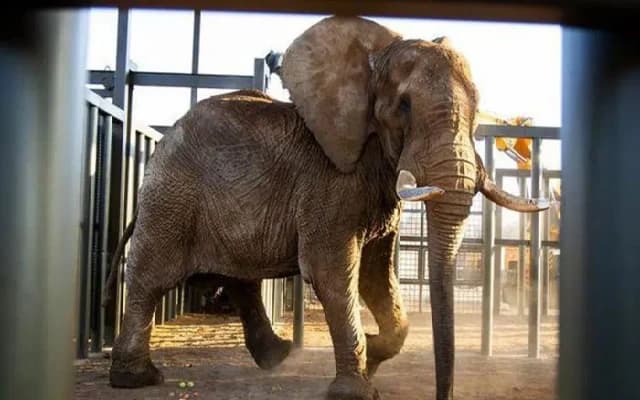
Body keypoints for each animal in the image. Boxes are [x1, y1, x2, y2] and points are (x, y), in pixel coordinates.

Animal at [105, 16, 547, 400]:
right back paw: (136, 379)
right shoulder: (330, 181)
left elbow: (375, 273)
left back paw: (278, 356)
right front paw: (357, 389)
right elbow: (331, 271)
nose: (445, 395)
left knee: (239, 277)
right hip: (172, 197)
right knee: (151, 277)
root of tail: (163, 141)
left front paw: (373, 354)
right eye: (404, 106)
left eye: (477, 107)